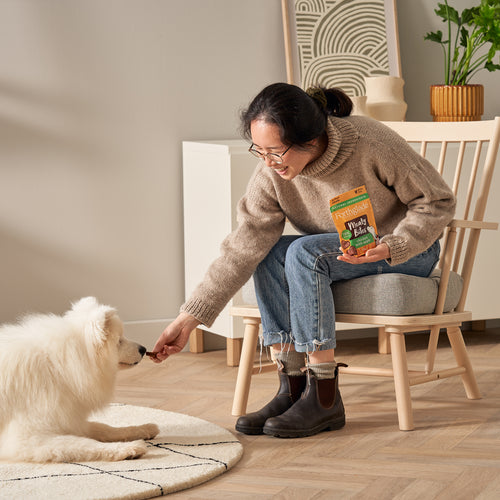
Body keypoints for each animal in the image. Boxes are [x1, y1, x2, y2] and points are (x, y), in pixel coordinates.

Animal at [0, 294, 159, 462]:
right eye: (119, 341)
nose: (144, 349)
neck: (57, 366)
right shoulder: (28, 436)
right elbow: (83, 443)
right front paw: (129, 448)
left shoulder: (71, 418)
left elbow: (104, 428)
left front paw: (144, 428)